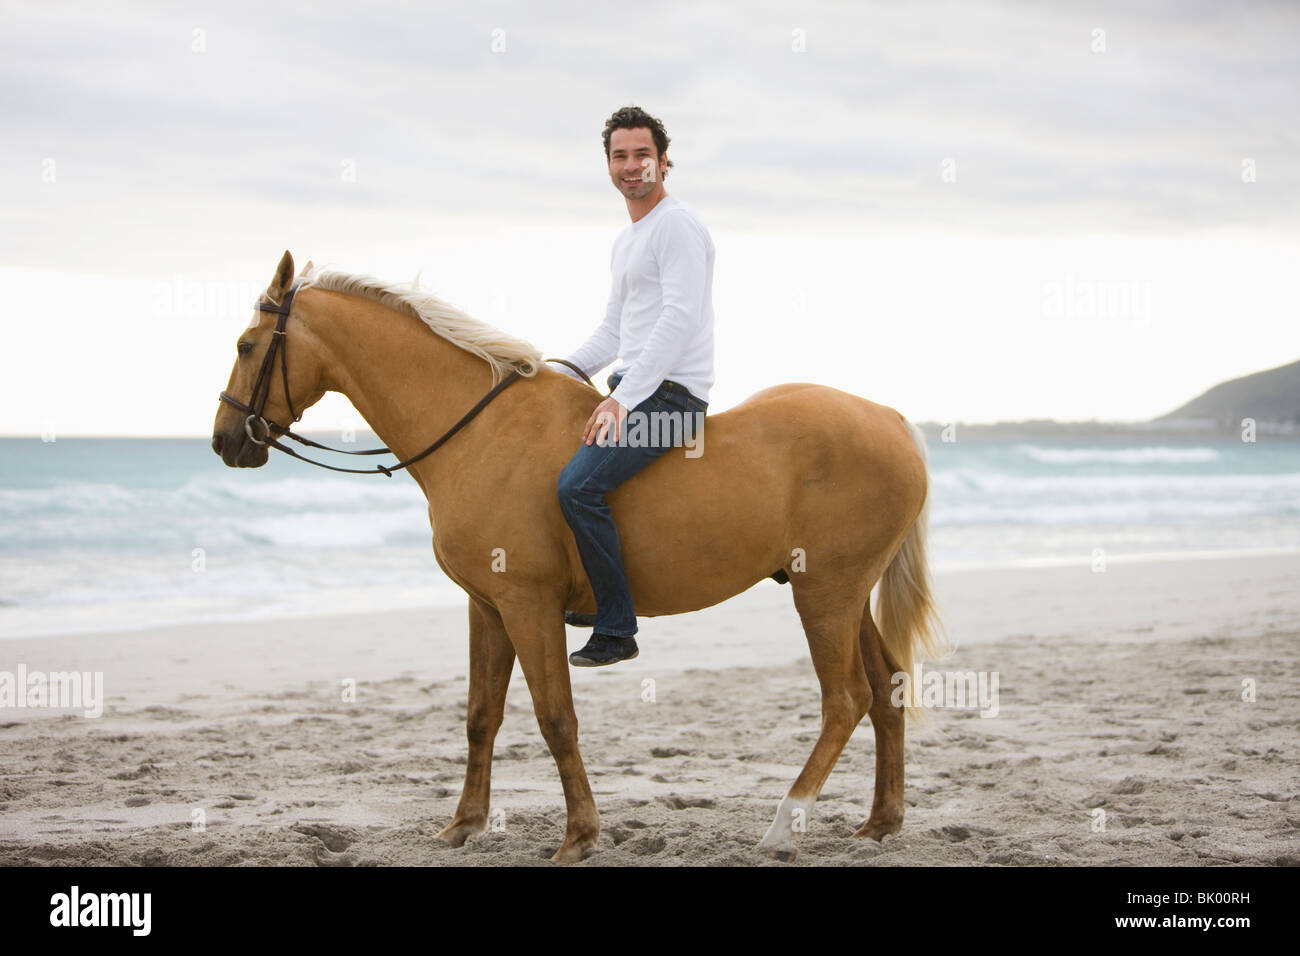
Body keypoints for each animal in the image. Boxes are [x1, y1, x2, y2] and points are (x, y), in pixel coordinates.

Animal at [210, 251, 946, 863]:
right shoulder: (487, 606)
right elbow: (480, 718)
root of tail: (888, 418)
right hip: (843, 594)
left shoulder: (528, 605)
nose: (224, 440)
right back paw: (880, 824)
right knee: (885, 691)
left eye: (246, 345)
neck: (478, 431)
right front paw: (463, 826)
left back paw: (782, 826)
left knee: (845, 701)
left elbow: (555, 718)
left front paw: (579, 836)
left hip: (825, 595)